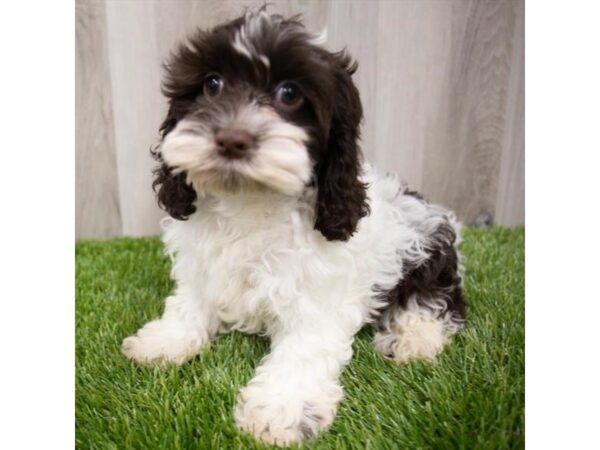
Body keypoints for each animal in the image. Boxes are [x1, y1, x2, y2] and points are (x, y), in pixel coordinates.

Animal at [123, 10, 464, 446]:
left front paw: (280, 409)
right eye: (212, 83)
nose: (232, 139)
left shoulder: (318, 296)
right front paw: (165, 340)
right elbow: (191, 302)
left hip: (428, 249)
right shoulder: (203, 265)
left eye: (289, 94)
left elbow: (302, 350)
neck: (251, 201)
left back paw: (413, 339)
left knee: (440, 300)